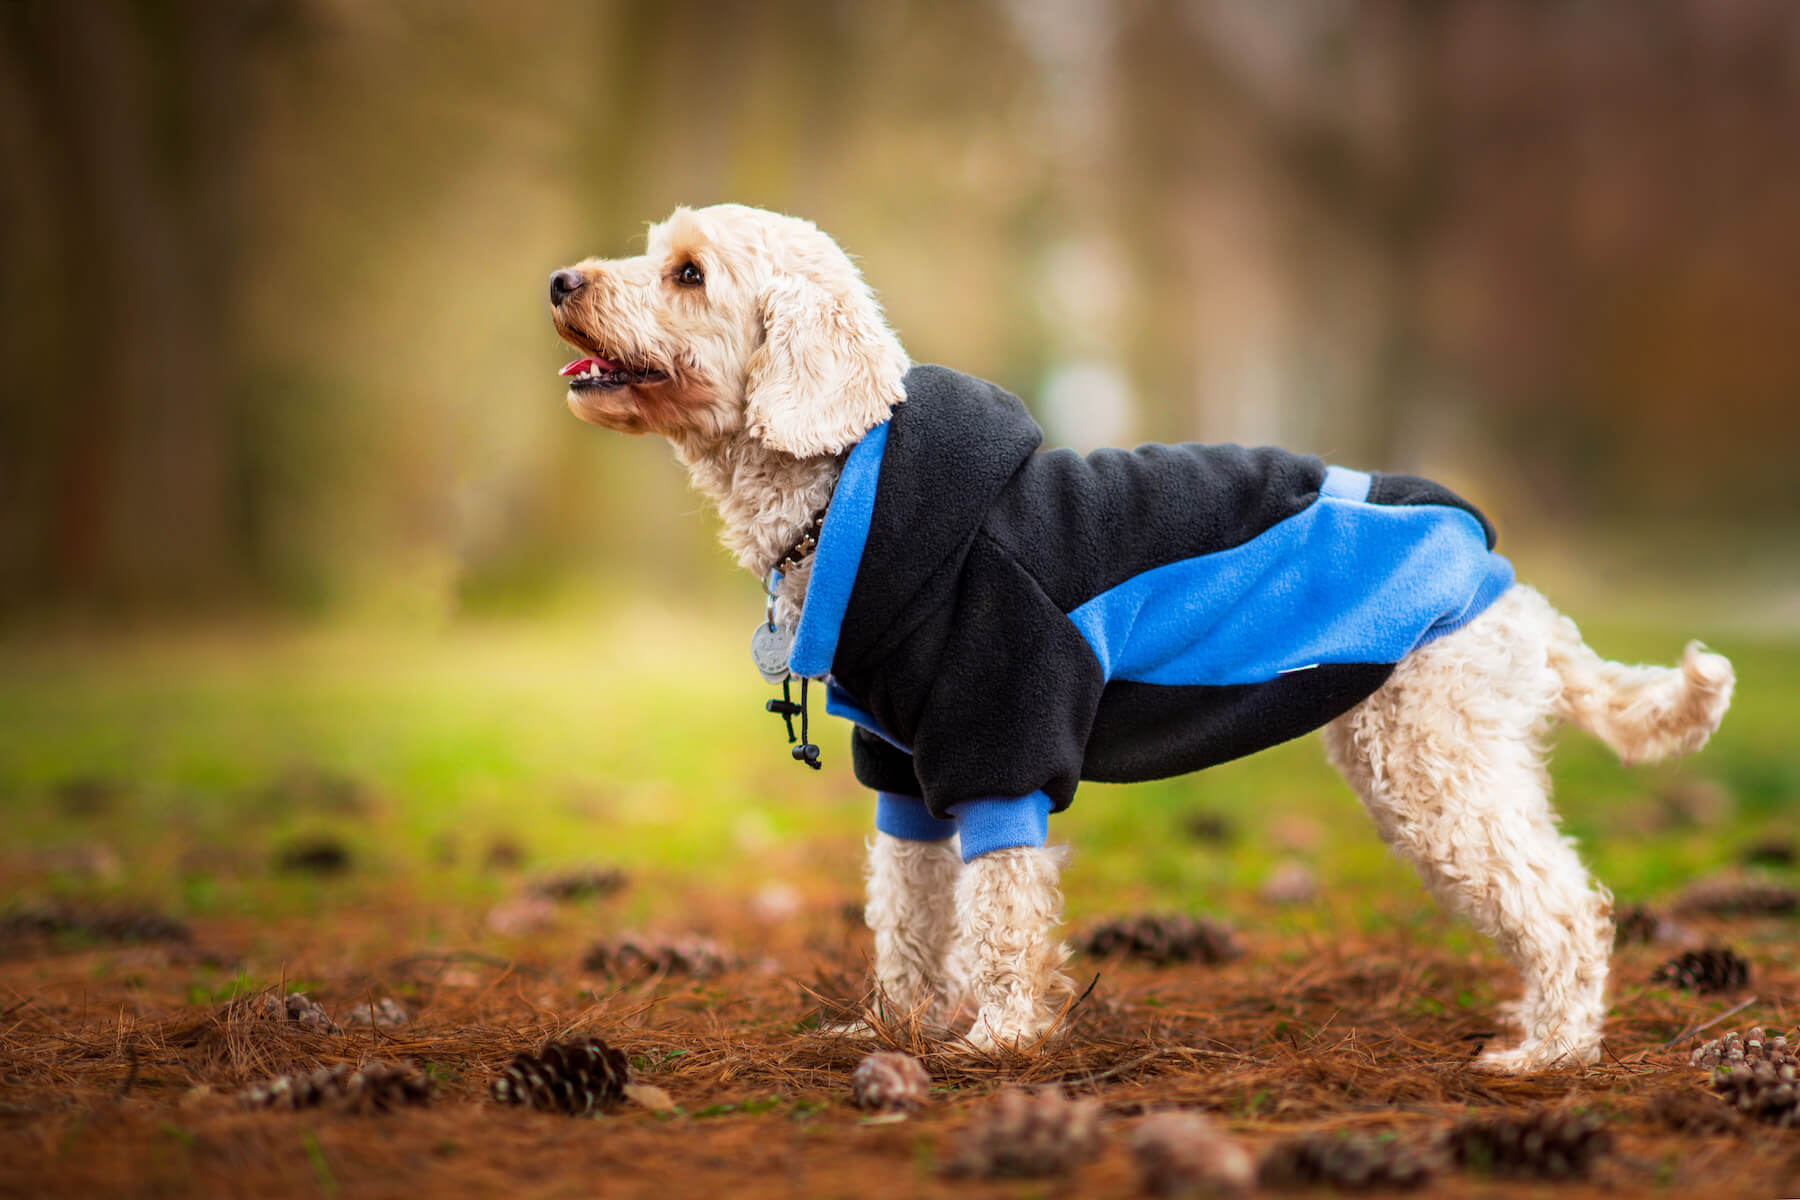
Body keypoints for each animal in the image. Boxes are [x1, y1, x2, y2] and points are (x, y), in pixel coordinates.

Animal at [543, 201, 1728, 1072]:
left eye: (690, 274)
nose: (559, 282)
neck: (850, 486)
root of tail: (1503, 579)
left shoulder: (1001, 741)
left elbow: (1002, 917)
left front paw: (1000, 1042)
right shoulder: (901, 770)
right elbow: (910, 917)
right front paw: (894, 1031)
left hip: (1436, 765)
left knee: (1567, 908)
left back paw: (1548, 1056)